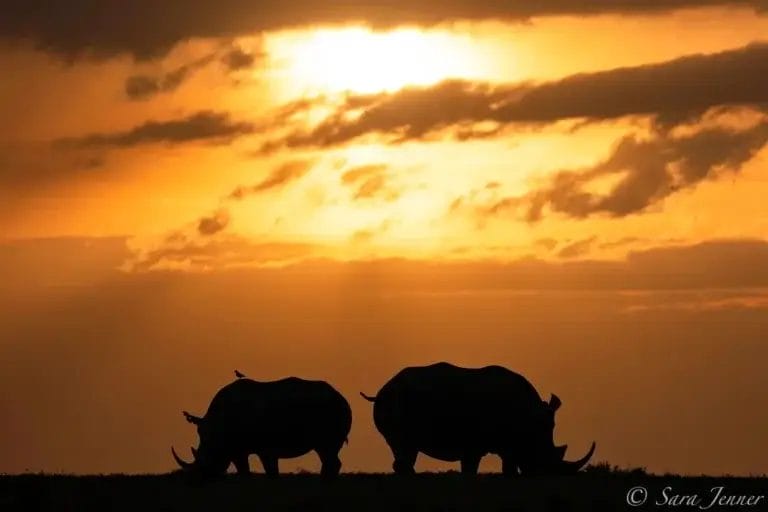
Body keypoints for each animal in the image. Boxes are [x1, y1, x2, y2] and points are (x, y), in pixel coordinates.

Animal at [172, 374, 352, 479]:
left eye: (209, 456)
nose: (203, 475)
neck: (218, 426)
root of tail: (341, 397)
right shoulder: (237, 448)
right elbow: (244, 470)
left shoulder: (266, 447)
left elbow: (269, 470)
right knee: (327, 453)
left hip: (330, 410)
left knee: (326, 450)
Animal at [360, 362, 595, 475]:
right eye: (544, 457)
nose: (543, 475)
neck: (530, 418)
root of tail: (382, 390)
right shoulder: (474, 444)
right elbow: (473, 469)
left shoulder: (505, 444)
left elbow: (507, 468)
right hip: (397, 400)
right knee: (404, 447)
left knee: (405, 449)